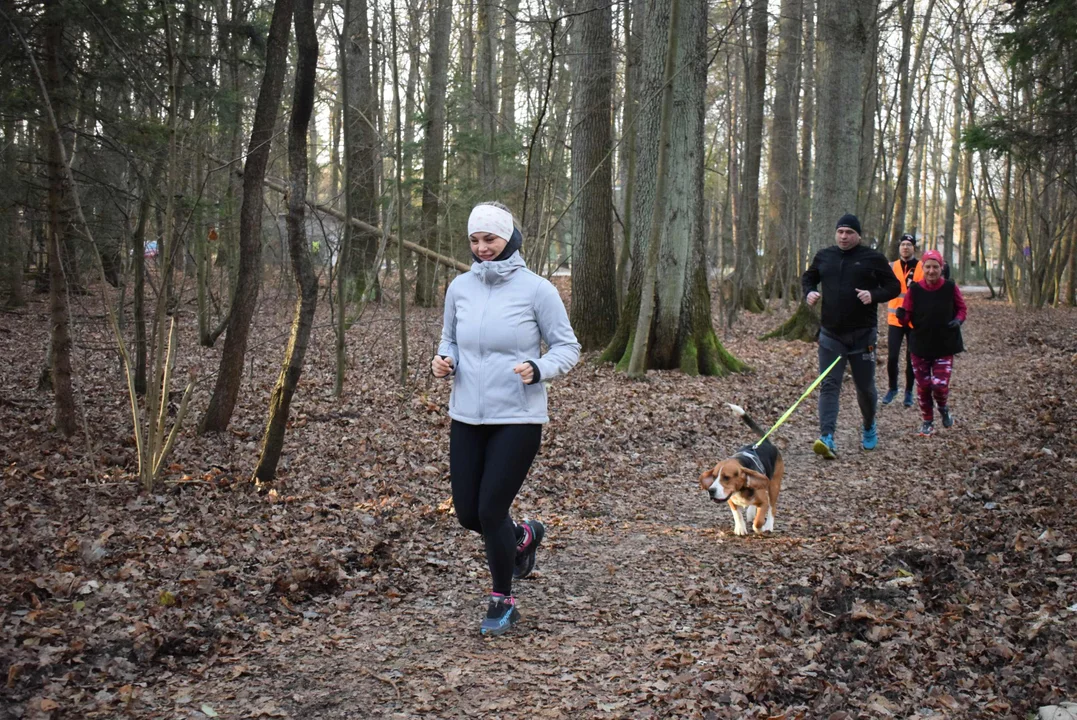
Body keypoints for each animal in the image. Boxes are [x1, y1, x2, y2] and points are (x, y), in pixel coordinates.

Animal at [697, 404, 784, 533]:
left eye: (726, 477)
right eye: (714, 476)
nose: (711, 491)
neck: (739, 490)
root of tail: (767, 442)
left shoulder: (764, 502)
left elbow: (758, 521)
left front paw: (760, 528)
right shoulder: (730, 500)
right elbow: (737, 514)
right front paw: (740, 528)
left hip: (774, 486)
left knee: (772, 508)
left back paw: (768, 525)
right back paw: (751, 512)